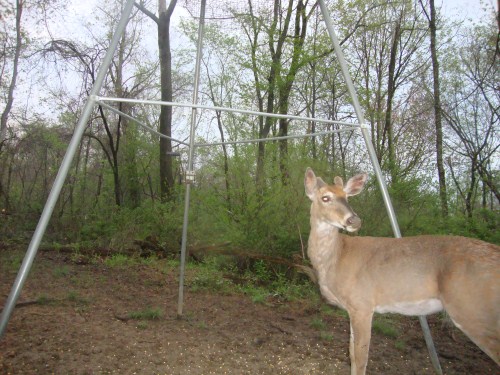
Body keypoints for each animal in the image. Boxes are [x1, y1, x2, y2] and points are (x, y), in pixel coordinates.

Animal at [304, 168, 500, 375]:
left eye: (347, 197)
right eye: (325, 197)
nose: (354, 220)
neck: (336, 258)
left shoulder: (362, 303)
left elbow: (360, 357)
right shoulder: (353, 308)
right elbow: (351, 354)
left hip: (474, 310)